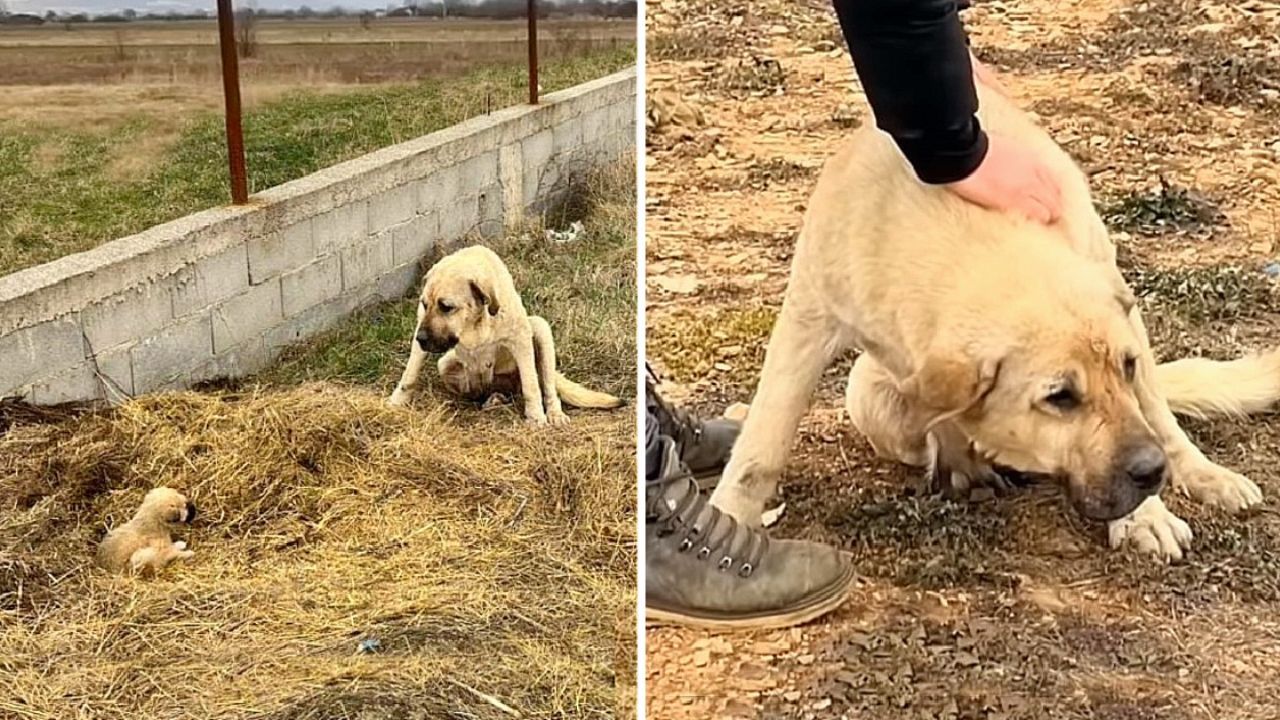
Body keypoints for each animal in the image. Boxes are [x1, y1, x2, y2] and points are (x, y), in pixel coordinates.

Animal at [711, 78, 1280, 561]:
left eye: (1127, 367)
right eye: (1060, 397)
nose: (1151, 472)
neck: (961, 225)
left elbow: (1149, 414)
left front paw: (1145, 516)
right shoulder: (808, 319)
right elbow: (760, 449)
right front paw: (724, 522)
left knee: (1163, 418)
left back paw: (1202, 473)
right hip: (871, 401)